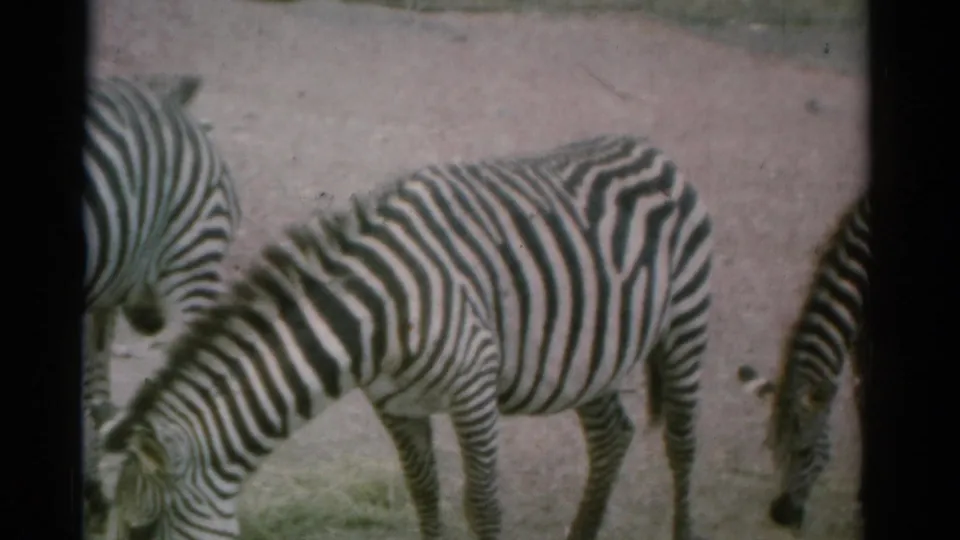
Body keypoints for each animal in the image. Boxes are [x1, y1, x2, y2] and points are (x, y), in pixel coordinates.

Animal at [96, 134, 713, 540]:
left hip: (685, 323)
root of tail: (649, 148)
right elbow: (424, 493)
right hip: (589, 356)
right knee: (612, 435)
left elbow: (481, 505)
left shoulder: (473, 386)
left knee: (681, 446)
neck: (376, 317)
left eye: (142, 530)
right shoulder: (392, 403)